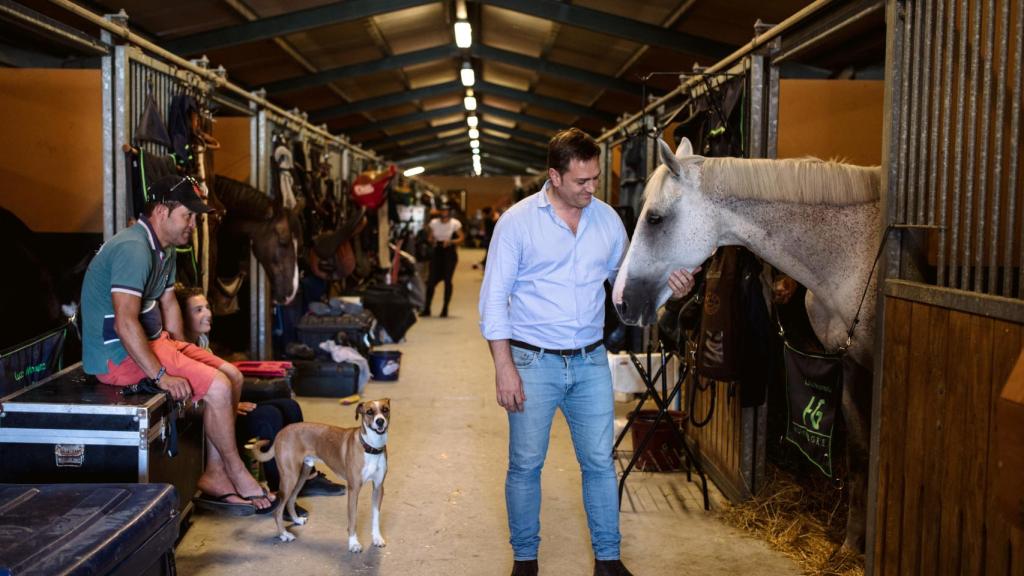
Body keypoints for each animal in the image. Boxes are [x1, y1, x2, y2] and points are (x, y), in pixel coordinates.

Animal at [249, 397, 389, 545]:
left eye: (385, 410)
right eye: (369, 412)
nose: (380, 421)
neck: (371, 447)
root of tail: (281, 432)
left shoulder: (378, 488)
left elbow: (376, 517)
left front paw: (377, 538)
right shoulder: (354, 489)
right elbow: (352, 520)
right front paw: (353, 544)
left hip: (301, 476)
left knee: (291, 500)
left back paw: (296, 520)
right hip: (290, 478)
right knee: (278, 510)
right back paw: (284, 534)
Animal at [610, 135, 884, 553]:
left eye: (655, 218)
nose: (620, 301)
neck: (852, 258)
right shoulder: (850, 363)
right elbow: (859, 454)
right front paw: (851, 546)